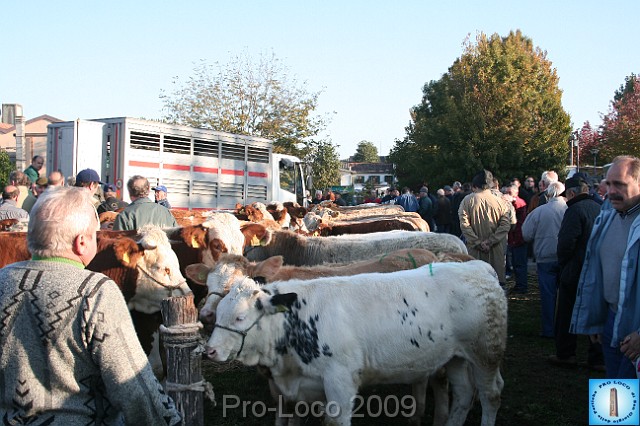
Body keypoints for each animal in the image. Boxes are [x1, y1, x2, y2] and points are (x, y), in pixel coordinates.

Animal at [208, 260, 508, 426]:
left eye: (240, 317)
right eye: (219, 313)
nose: (210, 350)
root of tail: (478, 267)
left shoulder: (340, 380)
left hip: (485, 352)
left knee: (491, 394)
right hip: (455, 356)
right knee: (464, 394)